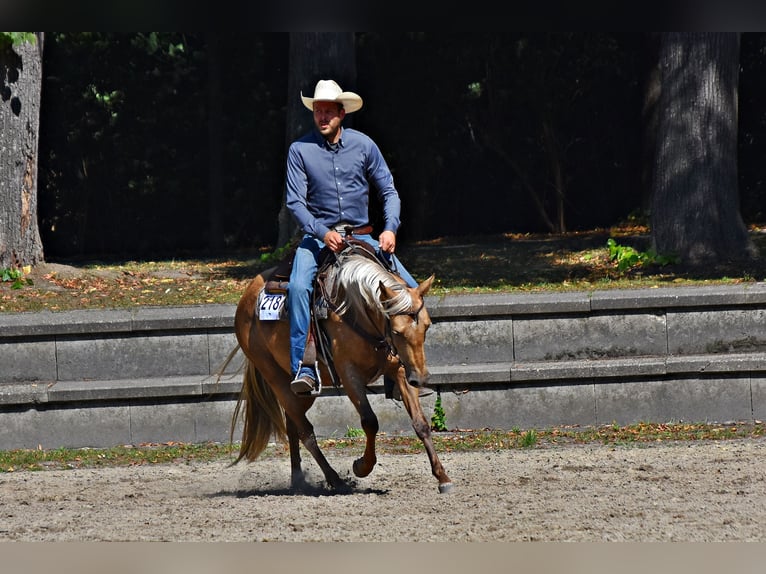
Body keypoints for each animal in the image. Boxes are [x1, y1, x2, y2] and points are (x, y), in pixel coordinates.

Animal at [224, 242, 453, 494]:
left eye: (427, 326)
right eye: (397, 331)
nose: (420, 379)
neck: (356, 309)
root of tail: (247, 297)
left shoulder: (401, 370)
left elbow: (420, 423)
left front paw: (442, 477)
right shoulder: (349, 374)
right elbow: (370, 422)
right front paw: (361, 467)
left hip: (299, 392)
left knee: (293, 426)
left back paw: (298, 480)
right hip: (275, 378)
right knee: (306, 432)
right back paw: (336, 480)